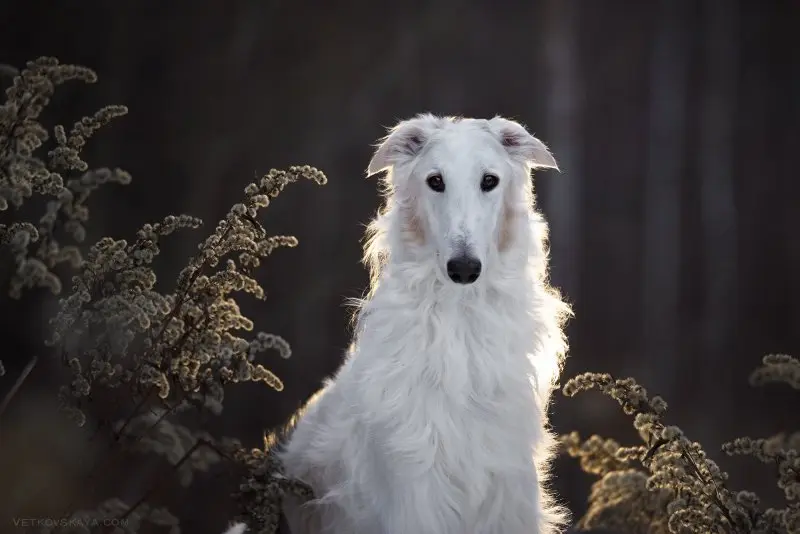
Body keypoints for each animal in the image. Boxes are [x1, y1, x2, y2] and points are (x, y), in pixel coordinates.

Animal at [228, 114, 572, 534]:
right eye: (435, 180)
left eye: (489, 180)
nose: (463, 268)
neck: (459, 322)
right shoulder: (414, 490)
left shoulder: (508, 490)